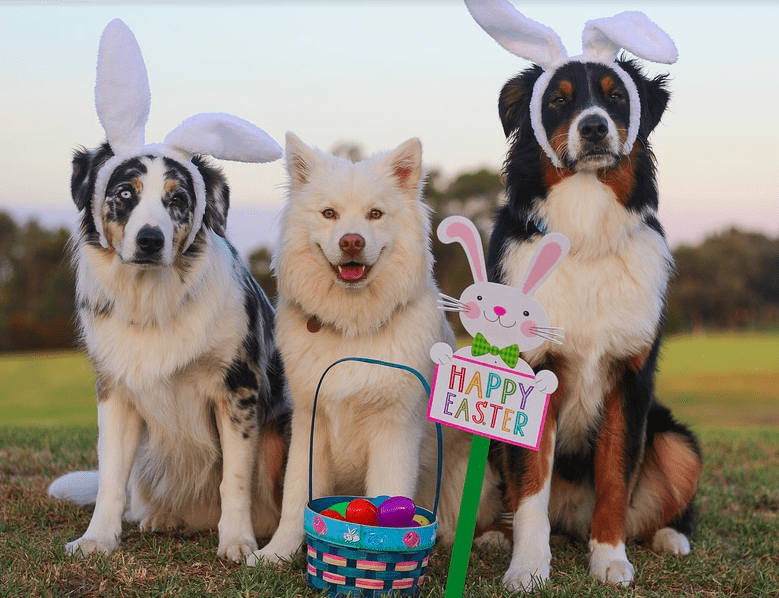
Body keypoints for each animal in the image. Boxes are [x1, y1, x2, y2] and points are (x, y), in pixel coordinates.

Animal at [49, 18, 292, 564]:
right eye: (124, 194)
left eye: (178, 199)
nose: (150, 240)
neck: (153, 300)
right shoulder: (116, 393)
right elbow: (111, 479)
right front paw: (97, 539)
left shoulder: (238, 390)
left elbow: (234, 480)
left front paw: (238, 542)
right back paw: (162, 518)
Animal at [466, 0, 704, 592]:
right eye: (557, 100)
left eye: (617, 96)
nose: (594, 126)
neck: (586, 230)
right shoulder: (530, 372)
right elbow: (530, 489)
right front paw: (528, 567)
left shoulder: (628, 380)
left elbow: (617, 480)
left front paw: (610, 560)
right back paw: (497, 536)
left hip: (676, 441)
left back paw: (670, 537)